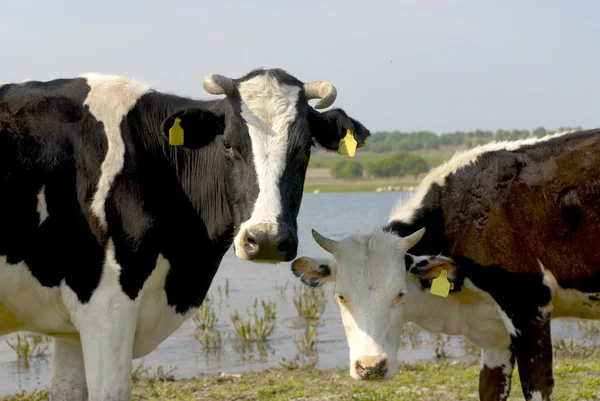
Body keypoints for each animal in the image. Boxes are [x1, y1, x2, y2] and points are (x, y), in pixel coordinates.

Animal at [292, 129, 600, 400]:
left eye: (400, 294)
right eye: (341, 297)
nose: (371, 366)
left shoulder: (528, 307)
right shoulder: (494, 335)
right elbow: (489, 388)